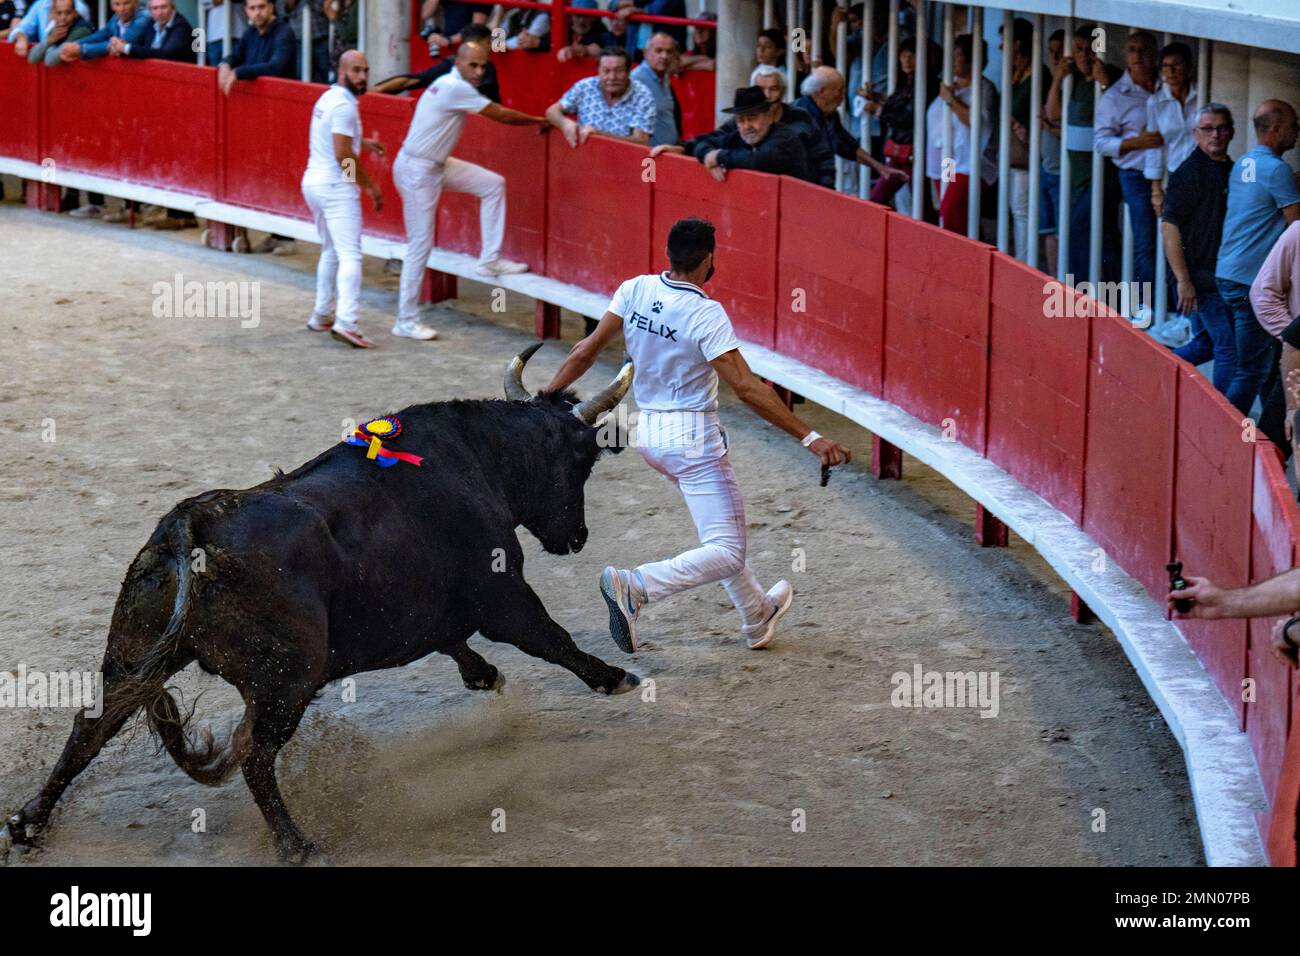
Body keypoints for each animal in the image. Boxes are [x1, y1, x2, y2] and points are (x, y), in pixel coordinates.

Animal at [3, 348, 639, 863]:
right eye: (582, 464)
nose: (576, 538)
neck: (478, 461)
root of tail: (192, 522)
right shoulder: (502, 596)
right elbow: (550, 638)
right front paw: (615, 677)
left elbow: (451, 639)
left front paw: (484, 674)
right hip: (288, 681)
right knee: (253, 754)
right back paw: (296, 844)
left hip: (133, 653)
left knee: (92, 726)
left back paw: (28, 823)